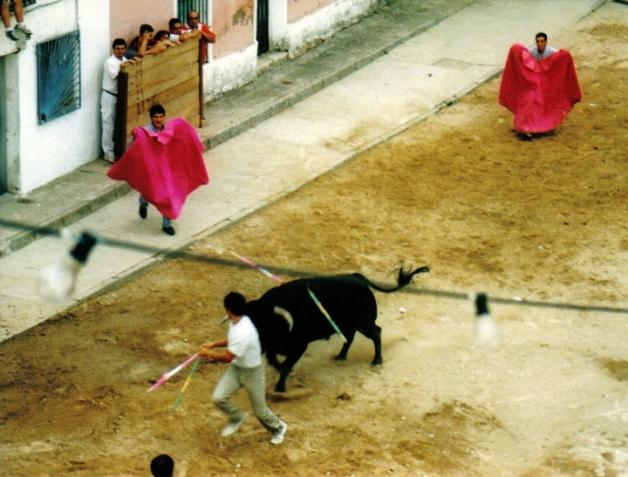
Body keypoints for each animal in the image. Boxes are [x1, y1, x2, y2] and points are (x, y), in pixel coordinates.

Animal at [244, 266, 429, 392]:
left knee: (376, 332)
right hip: (349, 324)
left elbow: (285, 365)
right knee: (351, 337)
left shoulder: (299, 345)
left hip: (362, 322)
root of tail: (357, 278)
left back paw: (377, 360)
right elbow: (276, 361)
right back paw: (341, 356)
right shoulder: (276, 348)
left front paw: (280, 387)